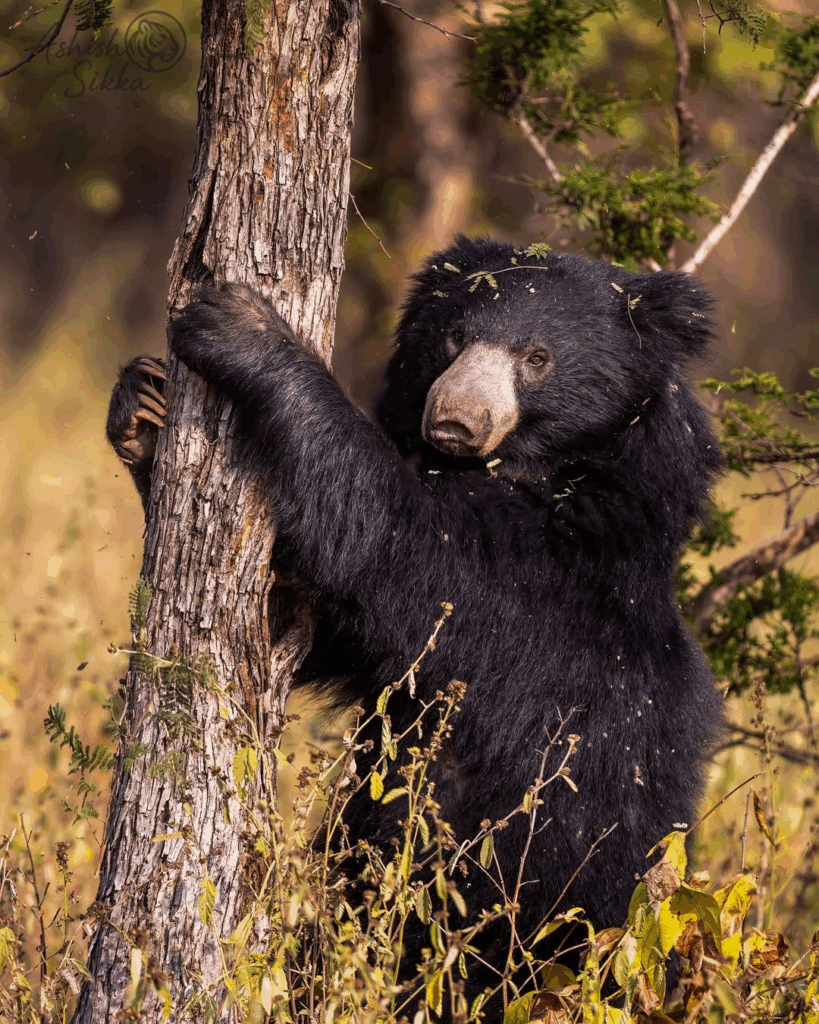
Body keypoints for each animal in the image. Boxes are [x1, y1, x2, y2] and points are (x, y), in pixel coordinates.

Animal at [107, 236, 724, 1016]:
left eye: (537, 357)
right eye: (454, 337)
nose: (454, 419)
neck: (548, 475)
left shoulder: (544, 583)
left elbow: (391, 540)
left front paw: (242, 328)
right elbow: (310, 624)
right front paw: (142, 409)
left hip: (555, 911)